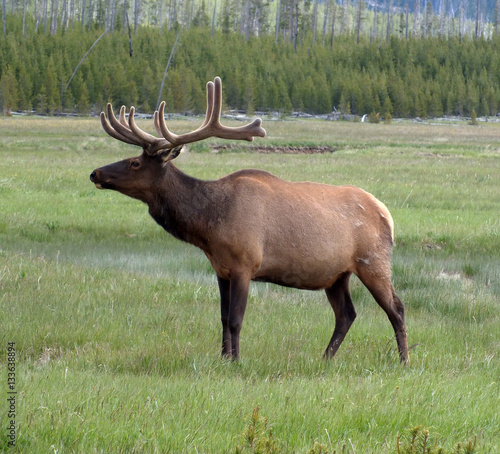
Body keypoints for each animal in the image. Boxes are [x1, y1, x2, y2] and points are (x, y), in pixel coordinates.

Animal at [91, 76, 410, 364]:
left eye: (135, 163)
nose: (95, 173)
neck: (208, 225)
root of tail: (387, 214)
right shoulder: (220, 269)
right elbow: (222, 317)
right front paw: (223, 358)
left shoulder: (245, 264)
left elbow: (235, 319)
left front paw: (236, 361)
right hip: (337, 274)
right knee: (346, 314)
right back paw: (325, 359)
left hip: (373, 261)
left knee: (396, 308)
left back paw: (404, 360)